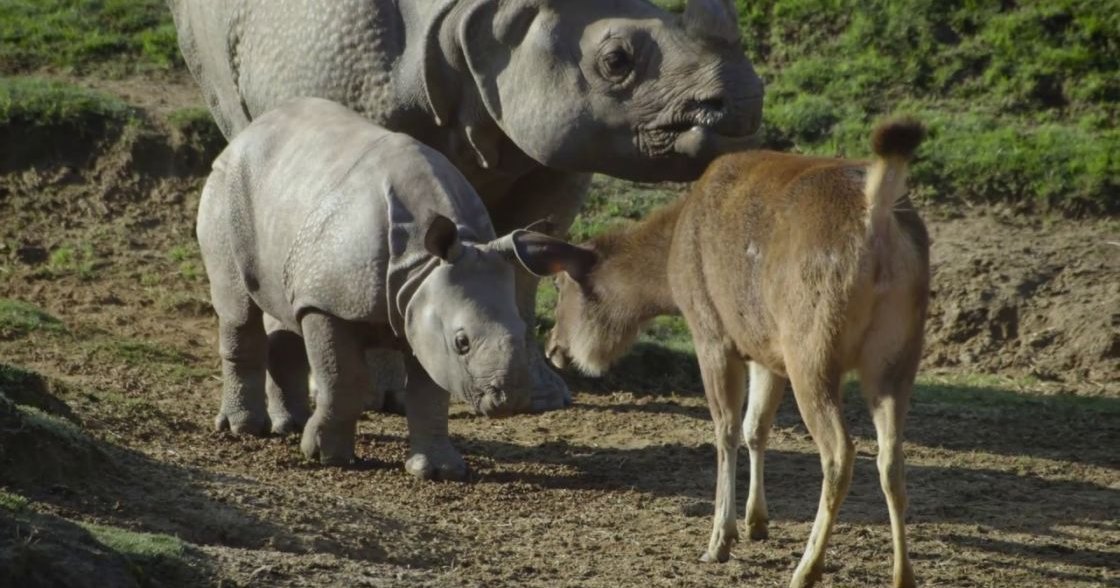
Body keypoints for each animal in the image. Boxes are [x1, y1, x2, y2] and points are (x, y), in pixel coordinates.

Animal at [169, 0, 765, 411]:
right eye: (616, 61)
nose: (744, 101)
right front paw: (383, 395)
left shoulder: (560, 144)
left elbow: (526, 258)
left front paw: (539, 395)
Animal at [197, 98, 588, 480]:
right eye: (462, 342)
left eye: (523, 332)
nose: (510, 401)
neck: (422, 264)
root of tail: (249, 132)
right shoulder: (329, 303)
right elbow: (342, 378)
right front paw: (327, 456)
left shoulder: (423, 310)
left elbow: (429, 394)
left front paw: (437, 470)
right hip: (228, 185)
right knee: (238, 309)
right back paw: (245, 428)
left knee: (285, 305)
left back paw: (289, 425)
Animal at [544, 119, 929, 588]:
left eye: (559, 286)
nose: (553, 349)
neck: (670, 272)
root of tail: (878, 213)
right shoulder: (765, 349)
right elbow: (755, 427)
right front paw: (756, 522)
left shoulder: (712, 333)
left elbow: (725, 429)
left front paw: (719, 541)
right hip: (897, 356)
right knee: (891, 458)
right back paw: (902, 574)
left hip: (812, 351)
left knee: (840, 452)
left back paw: (806, 568)